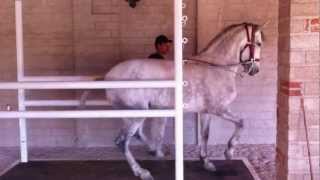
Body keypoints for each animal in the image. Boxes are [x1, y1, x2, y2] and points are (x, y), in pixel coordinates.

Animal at [81, 22, 264, 180]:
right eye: (259, 43)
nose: (255, 70)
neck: (216, 67)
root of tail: (109, 75)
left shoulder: (206, 112)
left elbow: (205, 135)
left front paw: (206, 162)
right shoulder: (219, 109)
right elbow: (241, 122)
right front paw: (229, 152)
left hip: (135, 114)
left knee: (137, 135)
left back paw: (155, 151)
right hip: (136, 114)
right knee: (122, 142)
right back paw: (142, 172)